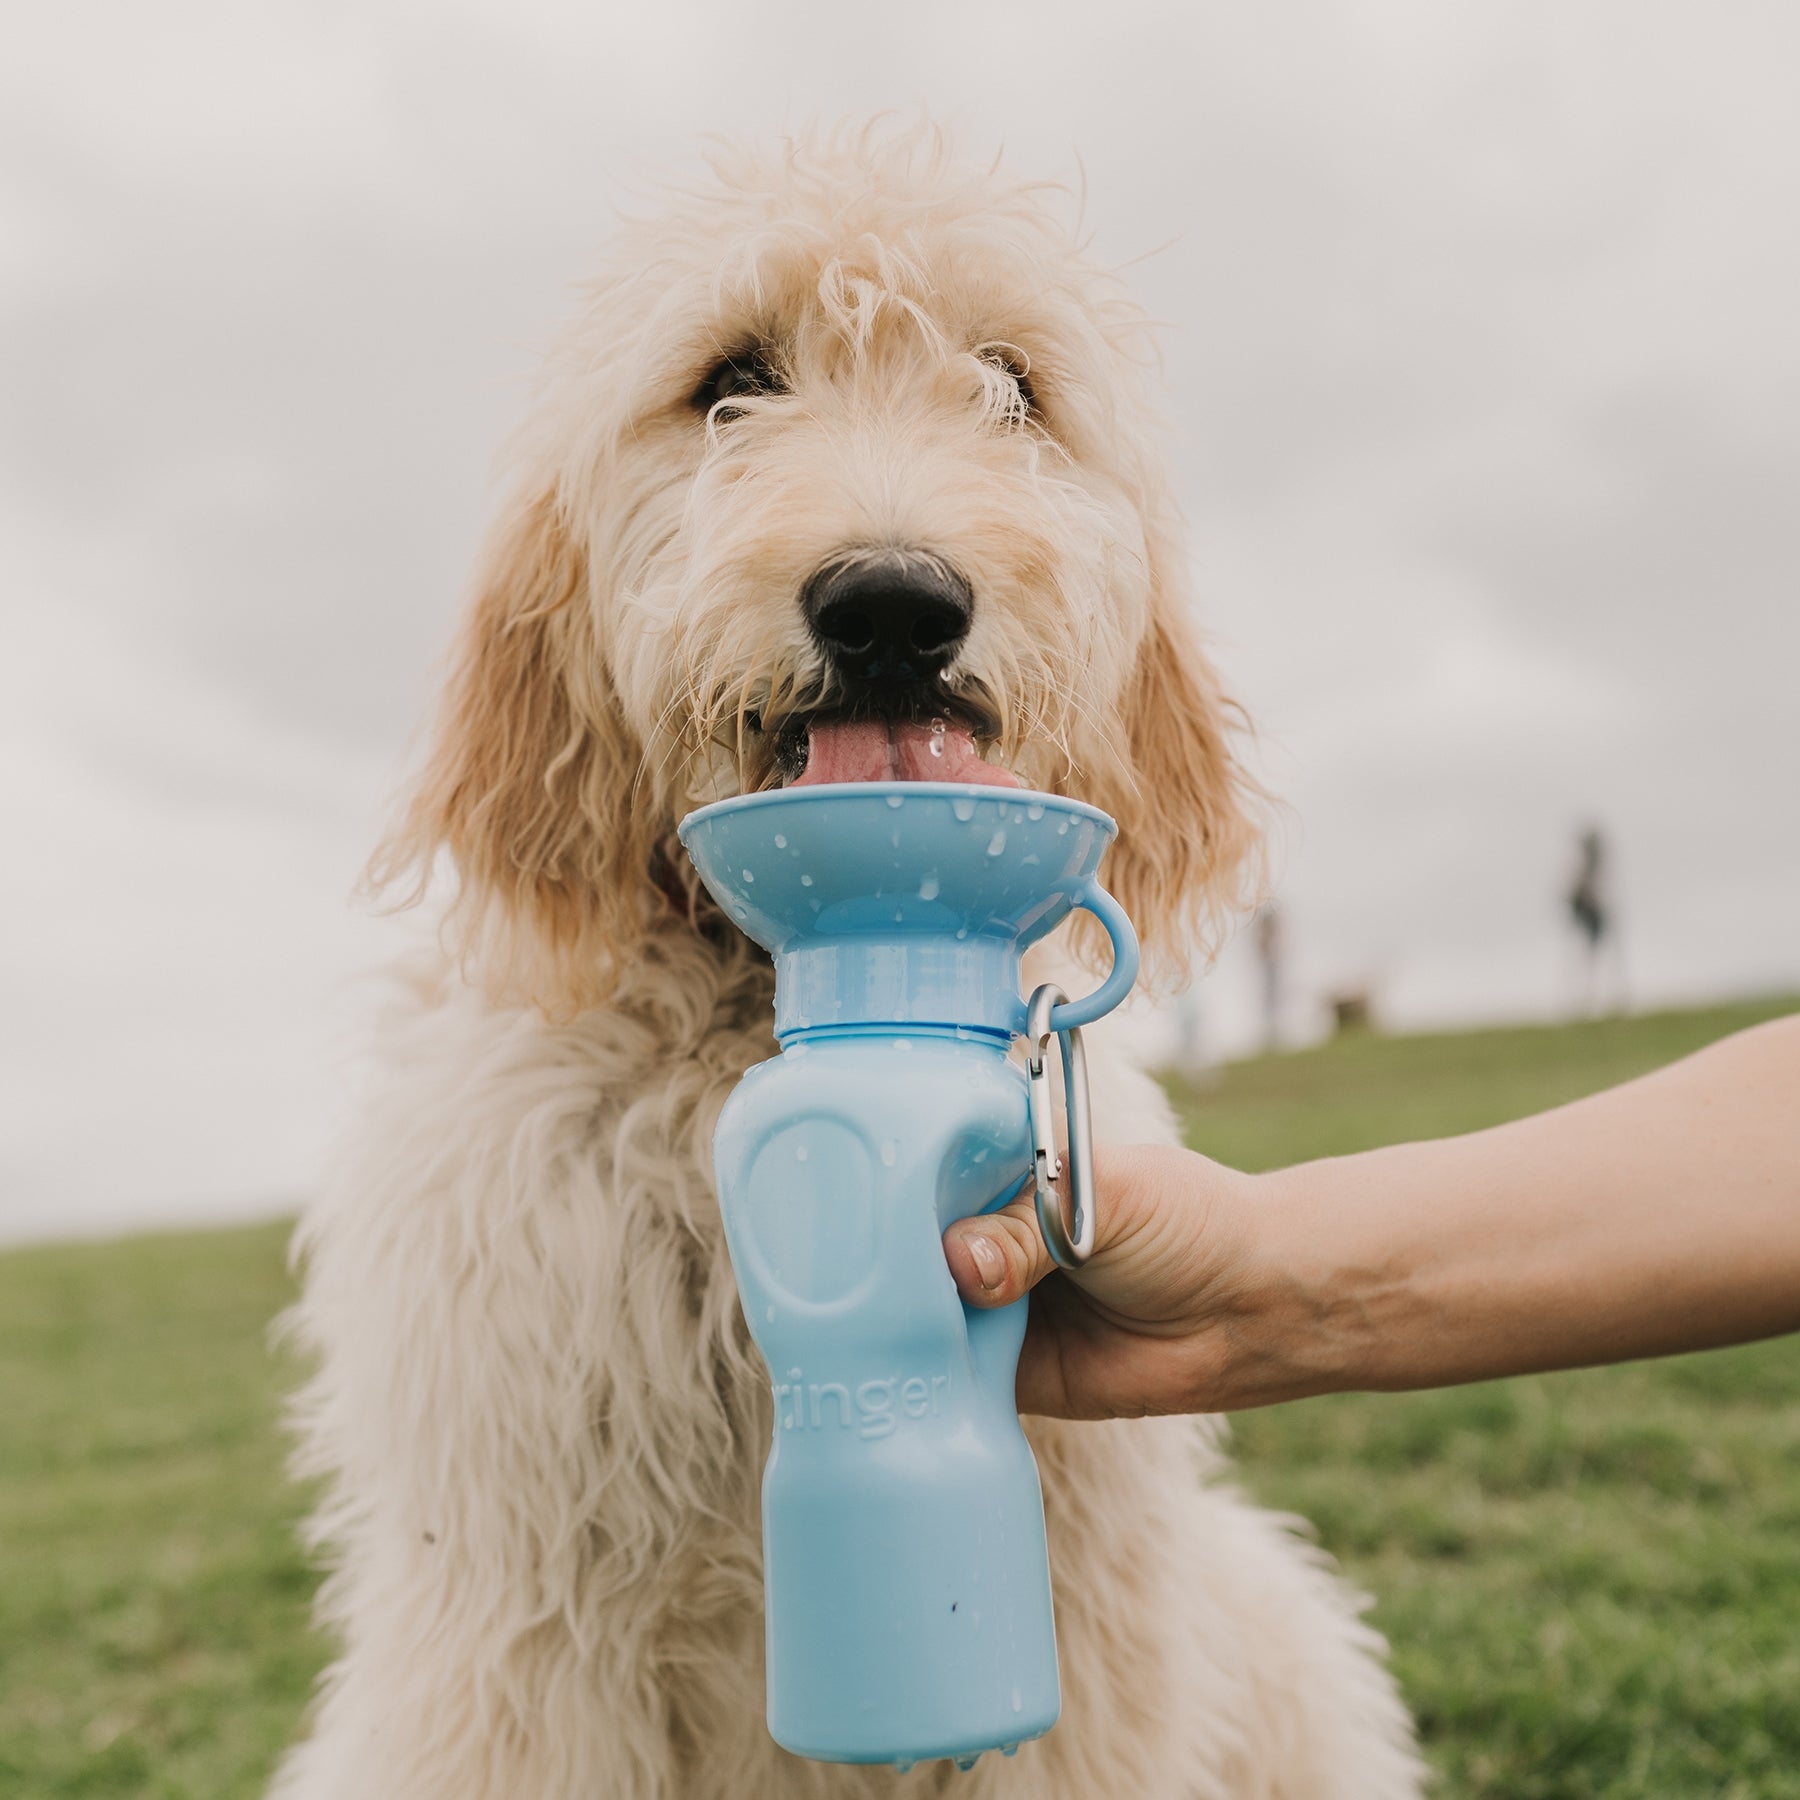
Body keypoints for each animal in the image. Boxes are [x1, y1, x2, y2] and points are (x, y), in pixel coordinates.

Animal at [273, 126, 1418, 1800]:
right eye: (730, 380)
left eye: (1008, 386)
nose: (891, 601)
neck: (755, 1020)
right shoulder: (524, 1617)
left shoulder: (1089, 1604)